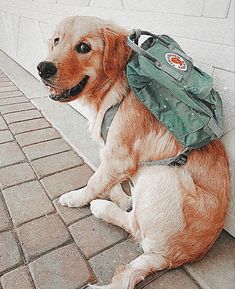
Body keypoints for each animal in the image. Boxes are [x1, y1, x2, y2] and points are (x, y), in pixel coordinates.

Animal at [37, 16, 230, 288]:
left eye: (84, 47)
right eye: (56, 40)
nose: (42, 68)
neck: (116, 89)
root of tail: (166, 257)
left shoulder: (120, 157)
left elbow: (94, 181)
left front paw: (77, 198)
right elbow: (103, 177)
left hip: (161, 174)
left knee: (134, 225)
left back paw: (101, 207)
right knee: (130, 206)